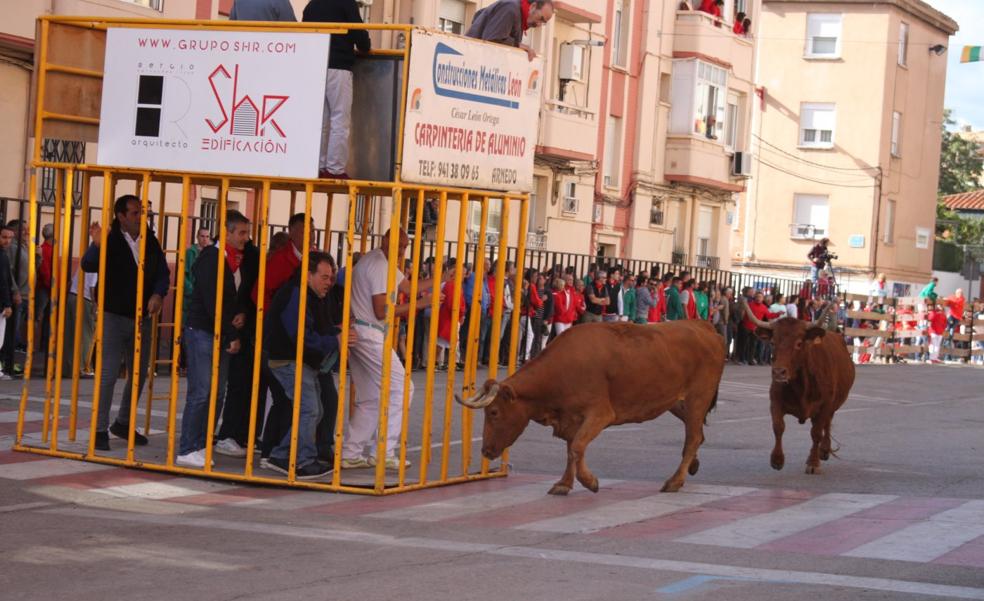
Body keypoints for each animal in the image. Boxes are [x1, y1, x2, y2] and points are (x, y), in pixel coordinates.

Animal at [454, 322, 724, 494]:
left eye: (494, 413)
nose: (486, 451)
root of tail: (705, 327)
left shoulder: (599, 414)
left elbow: (577, 447)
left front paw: (589, 481)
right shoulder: (570, 418)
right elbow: (570, 450)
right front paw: (564, 483)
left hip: (697, 398)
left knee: (693, 437)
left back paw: (675, 481)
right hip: (677, 403)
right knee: (697, 435)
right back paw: (692, 466)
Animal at [744, 302, 852, 476]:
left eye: (799, 343)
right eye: (773, 343)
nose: (778, 372)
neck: (801, 385)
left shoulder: (825, 405)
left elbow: (816, 432)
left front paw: (813, 463)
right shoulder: (775, 401)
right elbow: (778, 427)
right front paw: (777, 460)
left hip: (832, 405)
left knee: (827, 425)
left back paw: (824, 450)